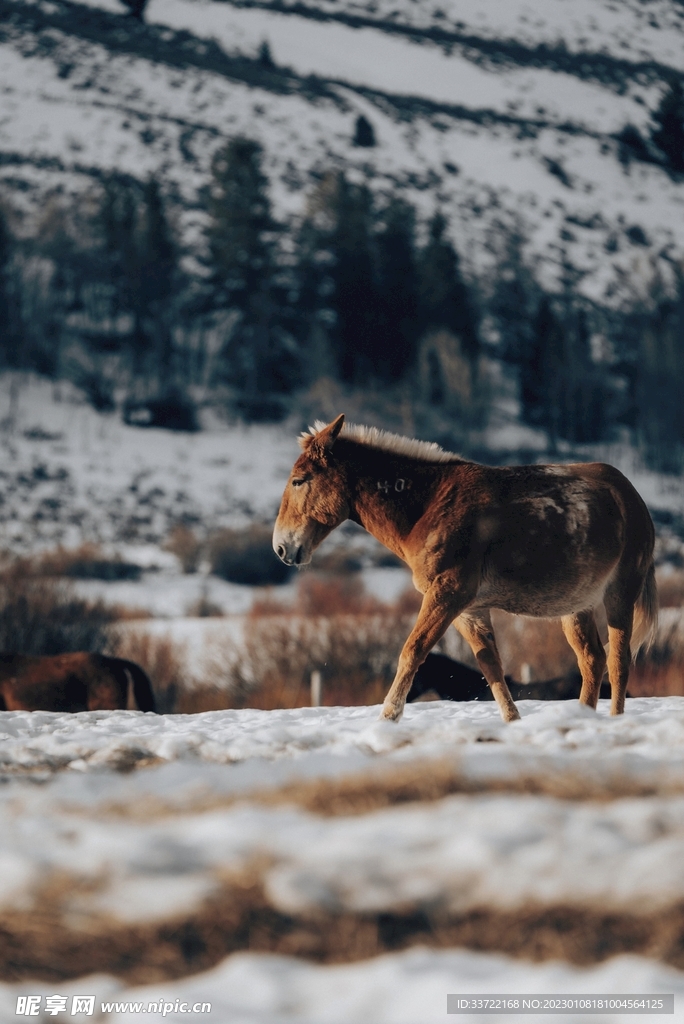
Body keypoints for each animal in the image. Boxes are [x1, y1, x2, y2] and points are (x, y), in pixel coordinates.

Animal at [273, 415, 656, 723]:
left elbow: (412, 651)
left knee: (618, 661)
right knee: (592, 661)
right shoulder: (469, 610)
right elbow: (491, 666)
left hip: (620, 593)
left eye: (299, 480)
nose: (281, 547)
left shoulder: (448, 594)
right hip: (576, 607)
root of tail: (630, 495)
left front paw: (388, 718)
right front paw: (512, 722)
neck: (429, 505)